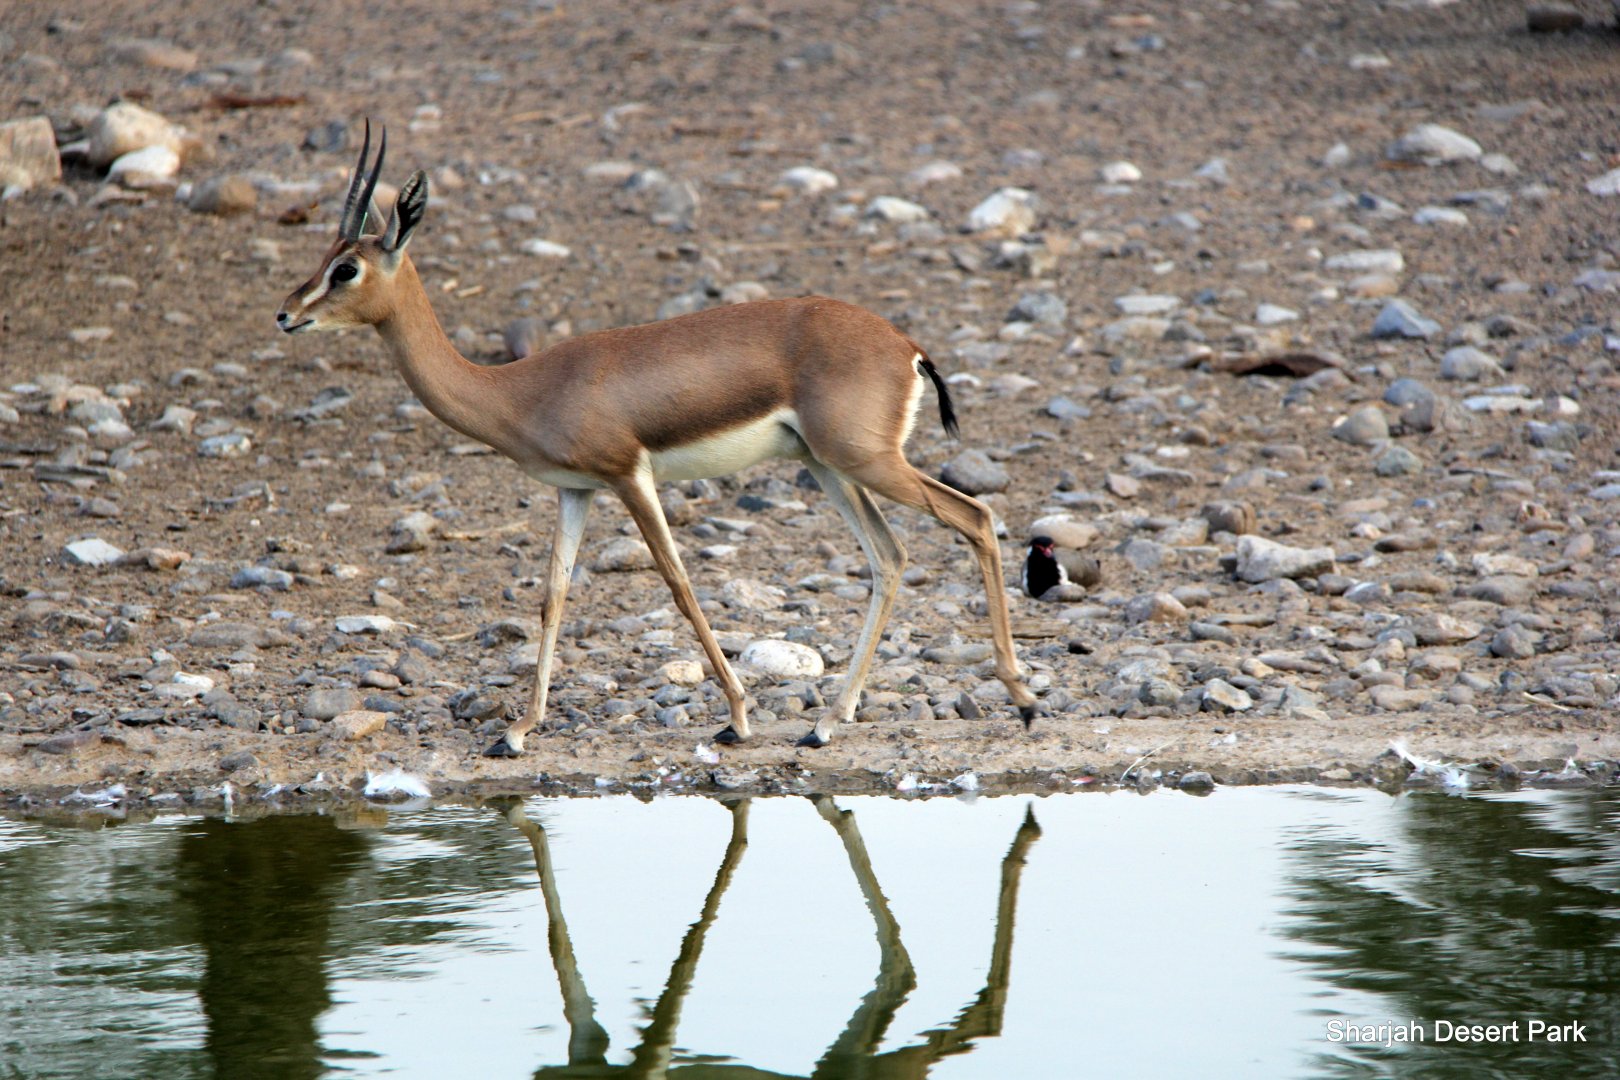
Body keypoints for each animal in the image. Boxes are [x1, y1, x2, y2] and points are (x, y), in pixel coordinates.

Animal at [275, 123, 1039, 755]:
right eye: (325, 254)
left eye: (347, 267)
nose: (285, 314)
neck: (521, 389)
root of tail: (906, 345)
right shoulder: (577, 492)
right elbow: (553, 595)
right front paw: (517, 731)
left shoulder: (627, 476)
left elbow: (677, 582)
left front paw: (737, 718)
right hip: (829, 468)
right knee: (890, 555)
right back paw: (825, 723)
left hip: (867, 462)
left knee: (974, 516)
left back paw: (1023, 700)